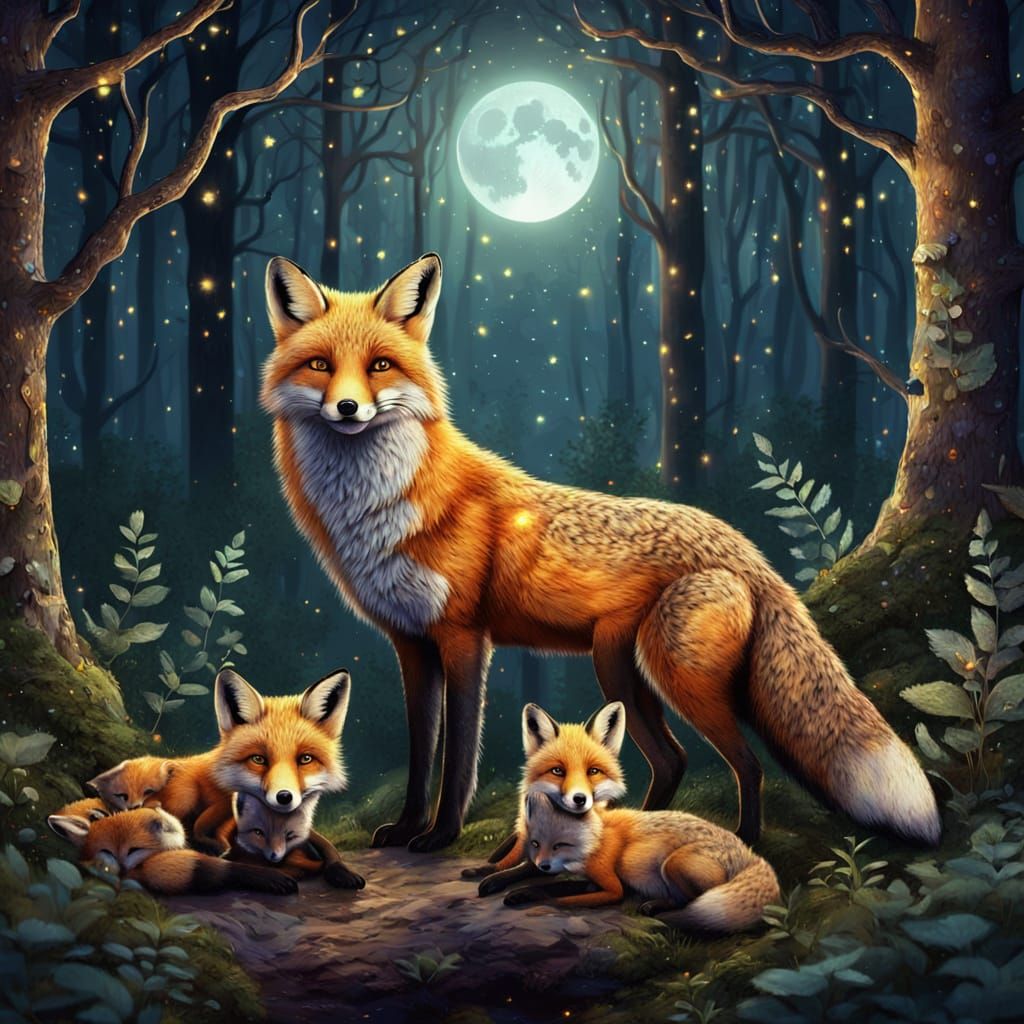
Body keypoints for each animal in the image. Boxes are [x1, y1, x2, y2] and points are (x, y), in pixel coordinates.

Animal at [259, 251, 941, 852]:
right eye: (320, 364)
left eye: (379, 365)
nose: (349, 407)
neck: (380, 508)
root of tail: (741, 545)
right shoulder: (411, 644)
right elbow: (420, 753)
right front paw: (405, 831)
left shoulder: (463, 638)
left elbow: (457, 759)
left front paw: (439, 837)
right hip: (623, 671)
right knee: (673, 761)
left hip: (668, 674)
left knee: (744, 762)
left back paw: (745, 840)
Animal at [509, 791, 781, 933]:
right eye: (535, 844)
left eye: (560, 845)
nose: (542, 866)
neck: (597, 838)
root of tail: (748, 854)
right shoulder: (591, 882)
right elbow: (554, 887)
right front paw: (520, 894)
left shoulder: (612, 887)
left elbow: (558, 899)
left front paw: (541, 904)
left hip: (672, 863)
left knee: (692, 901)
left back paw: (663, 912)